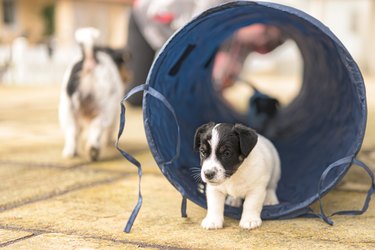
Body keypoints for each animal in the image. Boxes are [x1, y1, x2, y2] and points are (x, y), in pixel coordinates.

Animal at [58, 26, 124, 160]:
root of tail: (89, 59)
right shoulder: (115, 113)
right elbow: (110, 130)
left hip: (67, 110)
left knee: (72, 132)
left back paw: (71, 152)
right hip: (104, 111)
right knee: (95, 129)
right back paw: (93, 150)